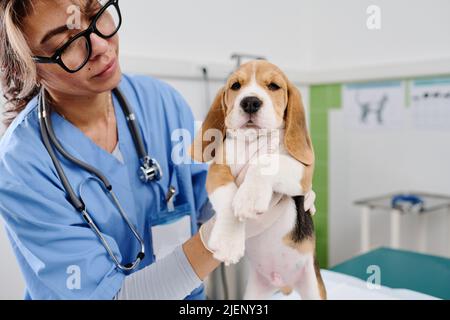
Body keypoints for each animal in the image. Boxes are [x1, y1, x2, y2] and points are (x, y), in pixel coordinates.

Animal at [191, 60, 326, 300]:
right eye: (236, 85)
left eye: (273, 86)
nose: (251, 102)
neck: (252, 142)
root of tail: (284, 284)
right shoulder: (218, 169)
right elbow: (227, 197)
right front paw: (228, 241)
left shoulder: (303, 173)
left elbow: (265, 161)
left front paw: (249, 197)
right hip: (255, 292)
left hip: (313, 286)